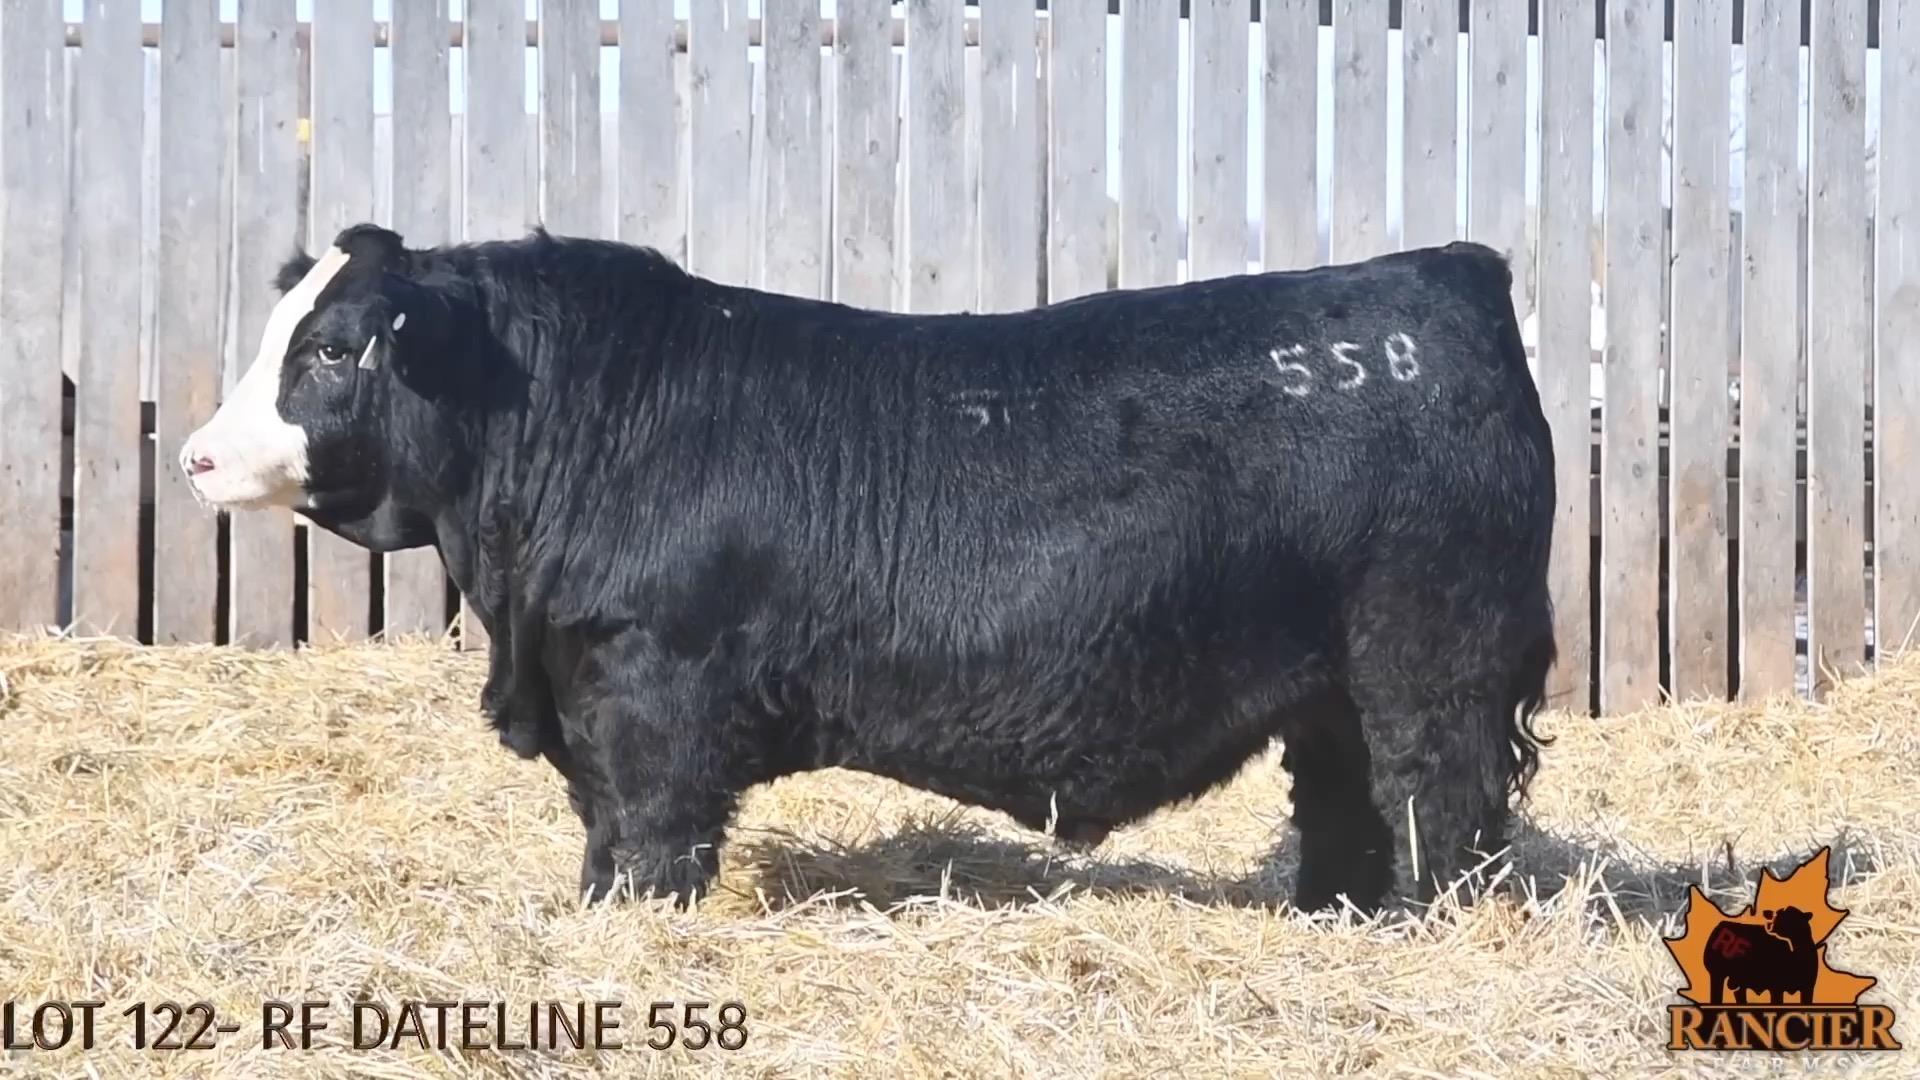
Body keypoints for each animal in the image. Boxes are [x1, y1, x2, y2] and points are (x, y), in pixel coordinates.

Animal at [178, 222, 1559, 915]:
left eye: (334, 348)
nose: (193, 456)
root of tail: (1446, 273)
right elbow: (603, 828)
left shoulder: (651, 688)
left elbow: (651, 830)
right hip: (1332, 688)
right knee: (1345, 809)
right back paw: (1337, 916)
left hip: (1431, 663)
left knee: (1437, 805)